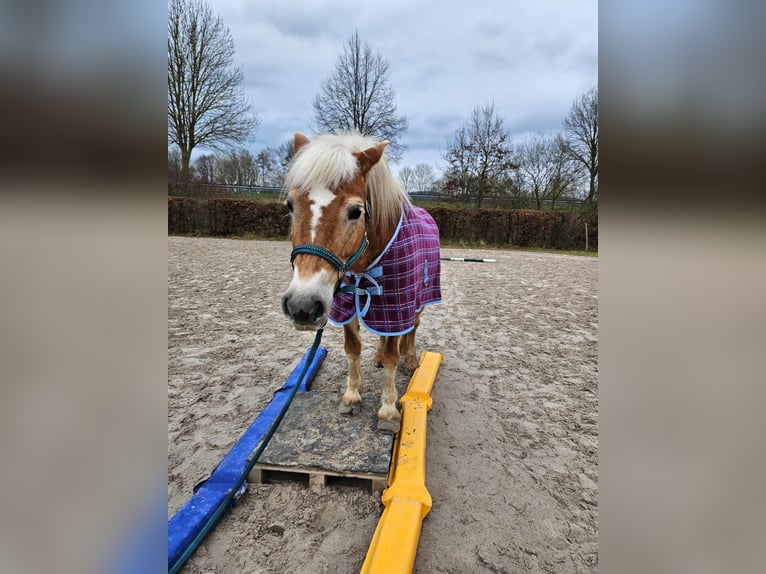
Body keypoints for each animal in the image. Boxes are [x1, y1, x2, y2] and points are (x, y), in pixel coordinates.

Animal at [281, 132, 442, 433]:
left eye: (356, 211)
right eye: (290, 205)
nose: (302, 306)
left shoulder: (396, 304)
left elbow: (392, 355)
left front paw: (388, 411)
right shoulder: (346, 304)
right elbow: (353, 349)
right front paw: (352, 395)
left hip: (419, 300)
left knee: (412, 330)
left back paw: (410, 360)